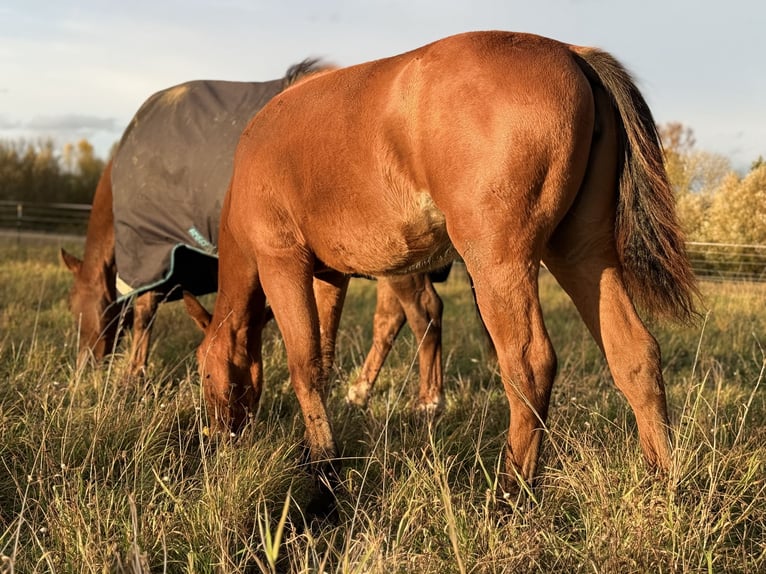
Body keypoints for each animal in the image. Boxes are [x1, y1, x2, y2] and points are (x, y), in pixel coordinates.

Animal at [60, 63, 448, 413]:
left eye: (78, 307)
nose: (83, 369)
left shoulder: (153, 251)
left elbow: (143, 313)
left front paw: (133, 377)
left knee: (423, 312)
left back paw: (428, 401)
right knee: (390, 320)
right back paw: (361, 392)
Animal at [186, 30, 699, 508]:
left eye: (203, 372)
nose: (212, 442)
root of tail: (573, 54)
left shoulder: (282, 264)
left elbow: (304, 365)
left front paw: (325, 474)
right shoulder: (327, 276)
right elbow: (324, 360)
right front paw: (318, 454)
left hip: (498, 264)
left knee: (529, 366)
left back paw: (510, 492)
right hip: (582, 255)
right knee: (634, 354)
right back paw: (662, 481)